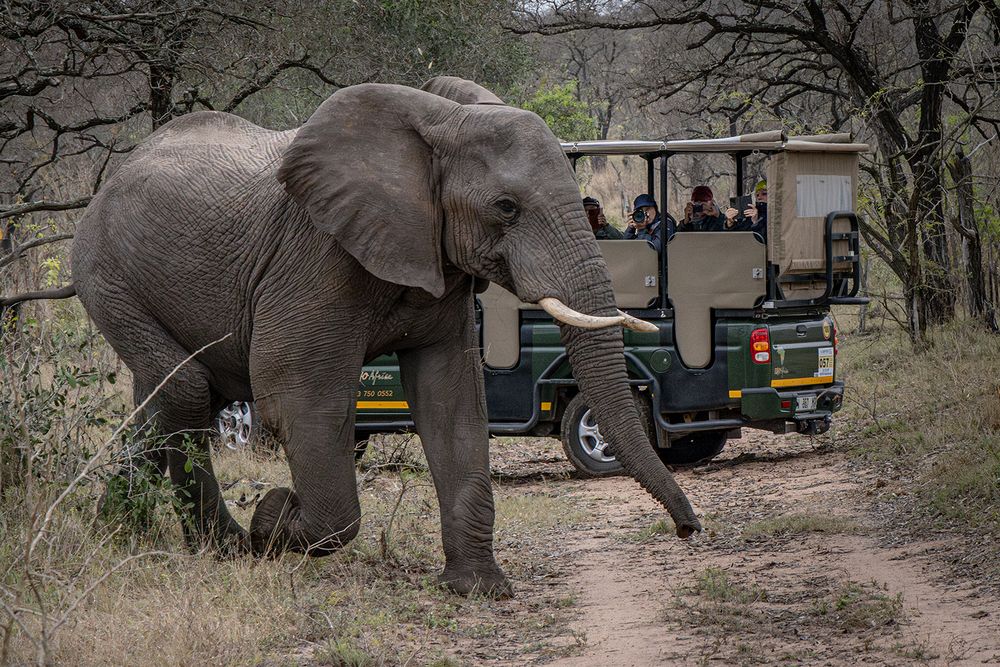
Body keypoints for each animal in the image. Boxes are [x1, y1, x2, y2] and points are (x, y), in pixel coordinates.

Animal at [70, 75, 700, 596]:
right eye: (506, 207)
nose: (689, 529)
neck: (440, 124)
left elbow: (452, 401)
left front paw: (478, 589)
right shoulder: (315, 256)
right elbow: (297, 397)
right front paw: (272, 519)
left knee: (177, 396)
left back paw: (141, 536)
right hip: (107, 274)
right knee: (186, 391)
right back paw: (205, 541)